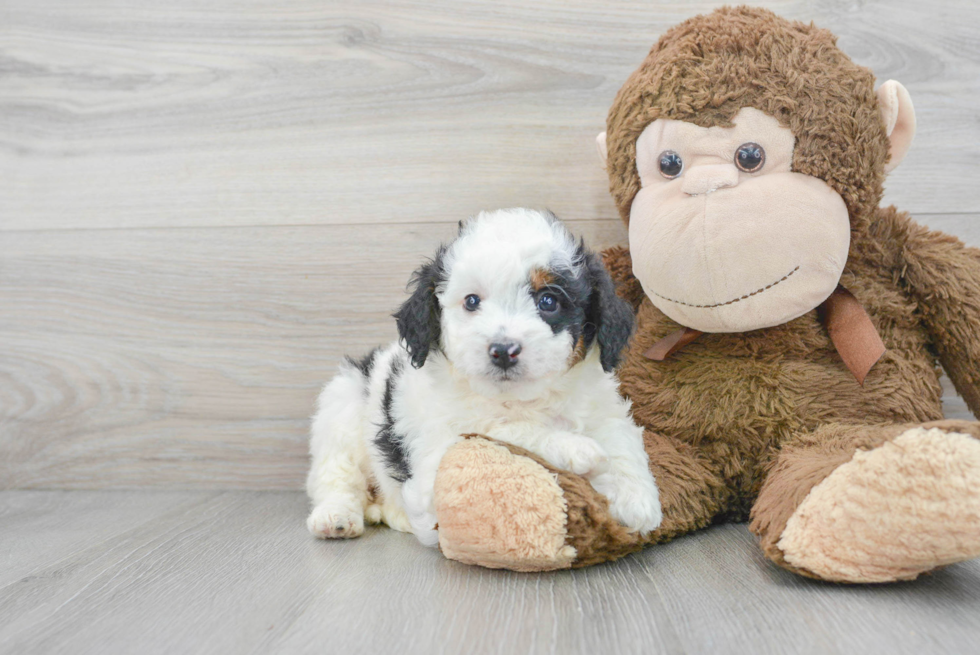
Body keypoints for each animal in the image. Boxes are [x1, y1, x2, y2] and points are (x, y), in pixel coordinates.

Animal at [302, 210, 664, 548]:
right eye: (472, 301)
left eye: (548, 301)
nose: (503, 350)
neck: (523, 399)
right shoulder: (437, 457)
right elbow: (499, 430)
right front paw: (574, 448)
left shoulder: (601, 408)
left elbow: (622, 440)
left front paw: (637, 500)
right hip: (342, 408)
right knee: (336, 477)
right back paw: (335, 517)